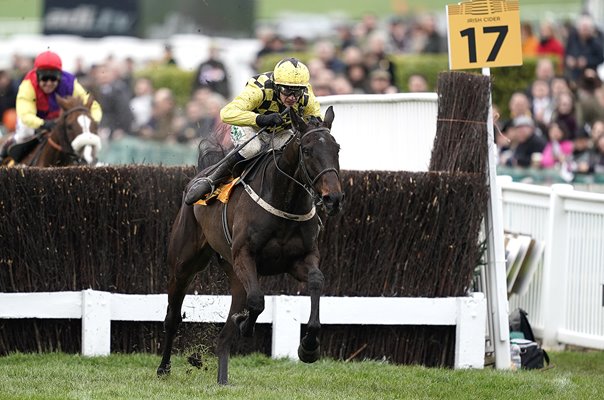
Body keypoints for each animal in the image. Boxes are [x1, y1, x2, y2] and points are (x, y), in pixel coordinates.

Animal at [157, 106, 344, 384]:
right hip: (184, 263)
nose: (333, 198)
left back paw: (222, 379)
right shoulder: (244, 257)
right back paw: (163, 368)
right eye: (308, 150)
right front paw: (245, 324)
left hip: (234, 275)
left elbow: (316, 281)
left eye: (337, 148)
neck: (284, 202)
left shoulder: (300, 259)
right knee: (172, 316)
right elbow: (257, 301)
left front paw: (309, 347)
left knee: (223, 337)